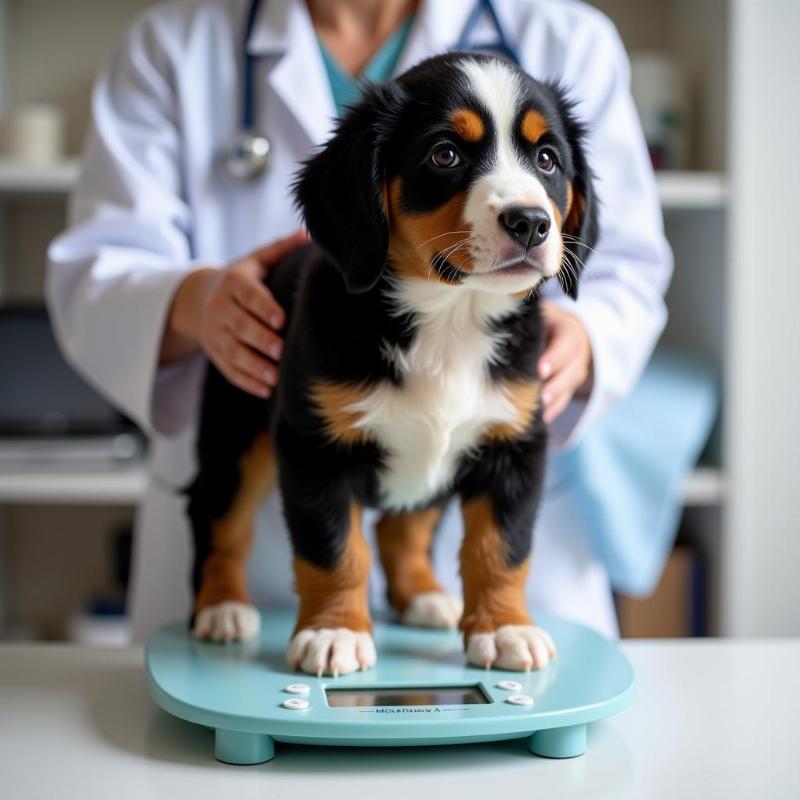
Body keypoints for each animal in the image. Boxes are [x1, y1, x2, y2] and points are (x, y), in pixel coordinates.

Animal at [189, 51, 592, 676]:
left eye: (547, 159)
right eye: (445, 154)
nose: (529, 221)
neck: (449, 319)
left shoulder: (513, 443)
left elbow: (500, 547)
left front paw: (504, 627)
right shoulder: (314, 446)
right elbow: (334, 550)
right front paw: (335, 631)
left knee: (404, 527)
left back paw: (425, 596)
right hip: (237, 429)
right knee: (219, 519)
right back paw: (222, 607)